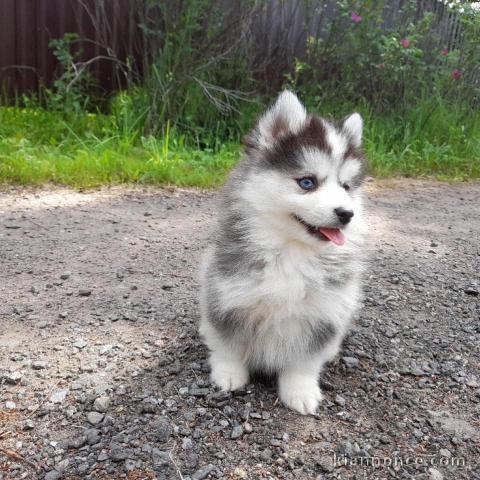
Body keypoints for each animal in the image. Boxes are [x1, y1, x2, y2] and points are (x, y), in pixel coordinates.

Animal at [199, 92, 368, 414]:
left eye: (346, 186)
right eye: (307, 182)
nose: (347, 214)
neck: (290, 252)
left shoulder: (321, 315)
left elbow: (304, 361)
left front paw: (300, 391)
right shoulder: (228, 297)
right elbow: (229, 345)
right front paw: (229, 374)